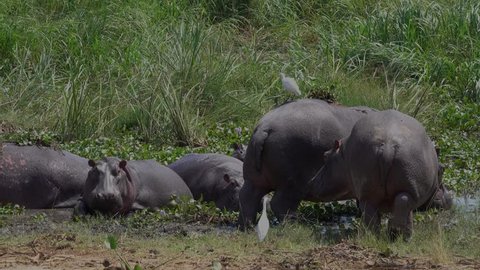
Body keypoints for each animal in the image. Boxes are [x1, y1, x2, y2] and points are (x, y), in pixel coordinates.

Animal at [238, 98, 376, 227]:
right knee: (280, 204)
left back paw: (246, 226)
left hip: (254, 179)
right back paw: (294, 225)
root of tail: (264, 127)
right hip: (292, 184)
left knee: (247, 197)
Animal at [318, 109, 450, 240]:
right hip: (408, 187)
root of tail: (388, 146)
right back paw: (402, 237)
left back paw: (374, 237)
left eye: (325, 155)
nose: (449, 198)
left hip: (369, 189)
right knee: (403, 204)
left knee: (371, 213)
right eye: (443, 169)